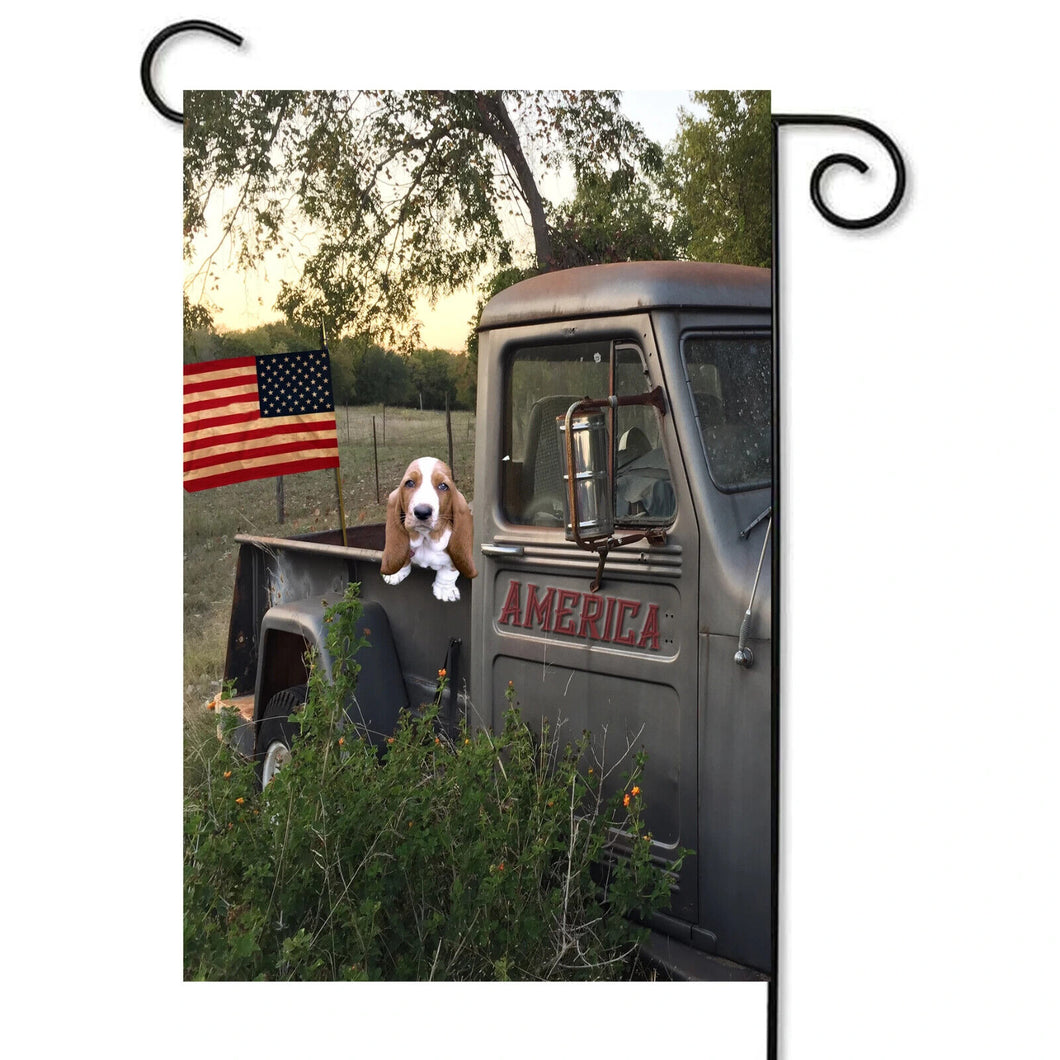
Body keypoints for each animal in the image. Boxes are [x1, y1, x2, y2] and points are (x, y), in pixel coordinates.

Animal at [381, 457, 476, 602]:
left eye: (443, 486)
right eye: (409, 483)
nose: (422, 512)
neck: (426, 539)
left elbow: (450, 570)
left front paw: (445, 589)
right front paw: (396, 573)